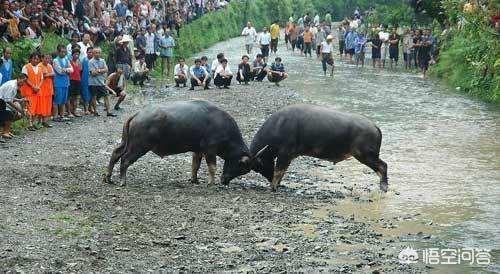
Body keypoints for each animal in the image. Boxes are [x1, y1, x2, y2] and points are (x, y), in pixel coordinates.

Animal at [103, 100, 264, 186]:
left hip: (126, 142)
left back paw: (108, 177)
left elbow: (195, 165)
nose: (224, 181)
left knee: (116, 153)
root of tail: (137, 114)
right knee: (125, 159)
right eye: (241, 167)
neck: (221, 125)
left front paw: (194, 180)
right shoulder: (210, 150)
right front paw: (211, 182)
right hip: (139, 146)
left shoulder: (198, 150)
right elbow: (212, 167)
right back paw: (122, 181)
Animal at [252, 104, 388, 192]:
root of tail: (375, 126)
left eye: (258, 166)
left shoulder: (284, 154)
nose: (268, 178)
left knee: (382, 166)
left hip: (366, 155)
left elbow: (278, 171)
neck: (279, 125)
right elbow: (282, 171)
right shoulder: (288, 157)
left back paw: (384, 187)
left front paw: (273, 187)